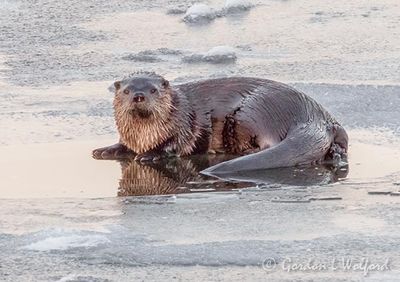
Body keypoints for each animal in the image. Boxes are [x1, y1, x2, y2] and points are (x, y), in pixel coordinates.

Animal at [93, 71, 346, 174]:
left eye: (153, 89)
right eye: (126, 90)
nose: (138, 95)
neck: (143, 136)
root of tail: (310, 113)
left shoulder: (183, 125)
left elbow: (173, 145)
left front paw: (149, 154)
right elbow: (122, 144)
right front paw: (105, 150)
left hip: (253, 111)